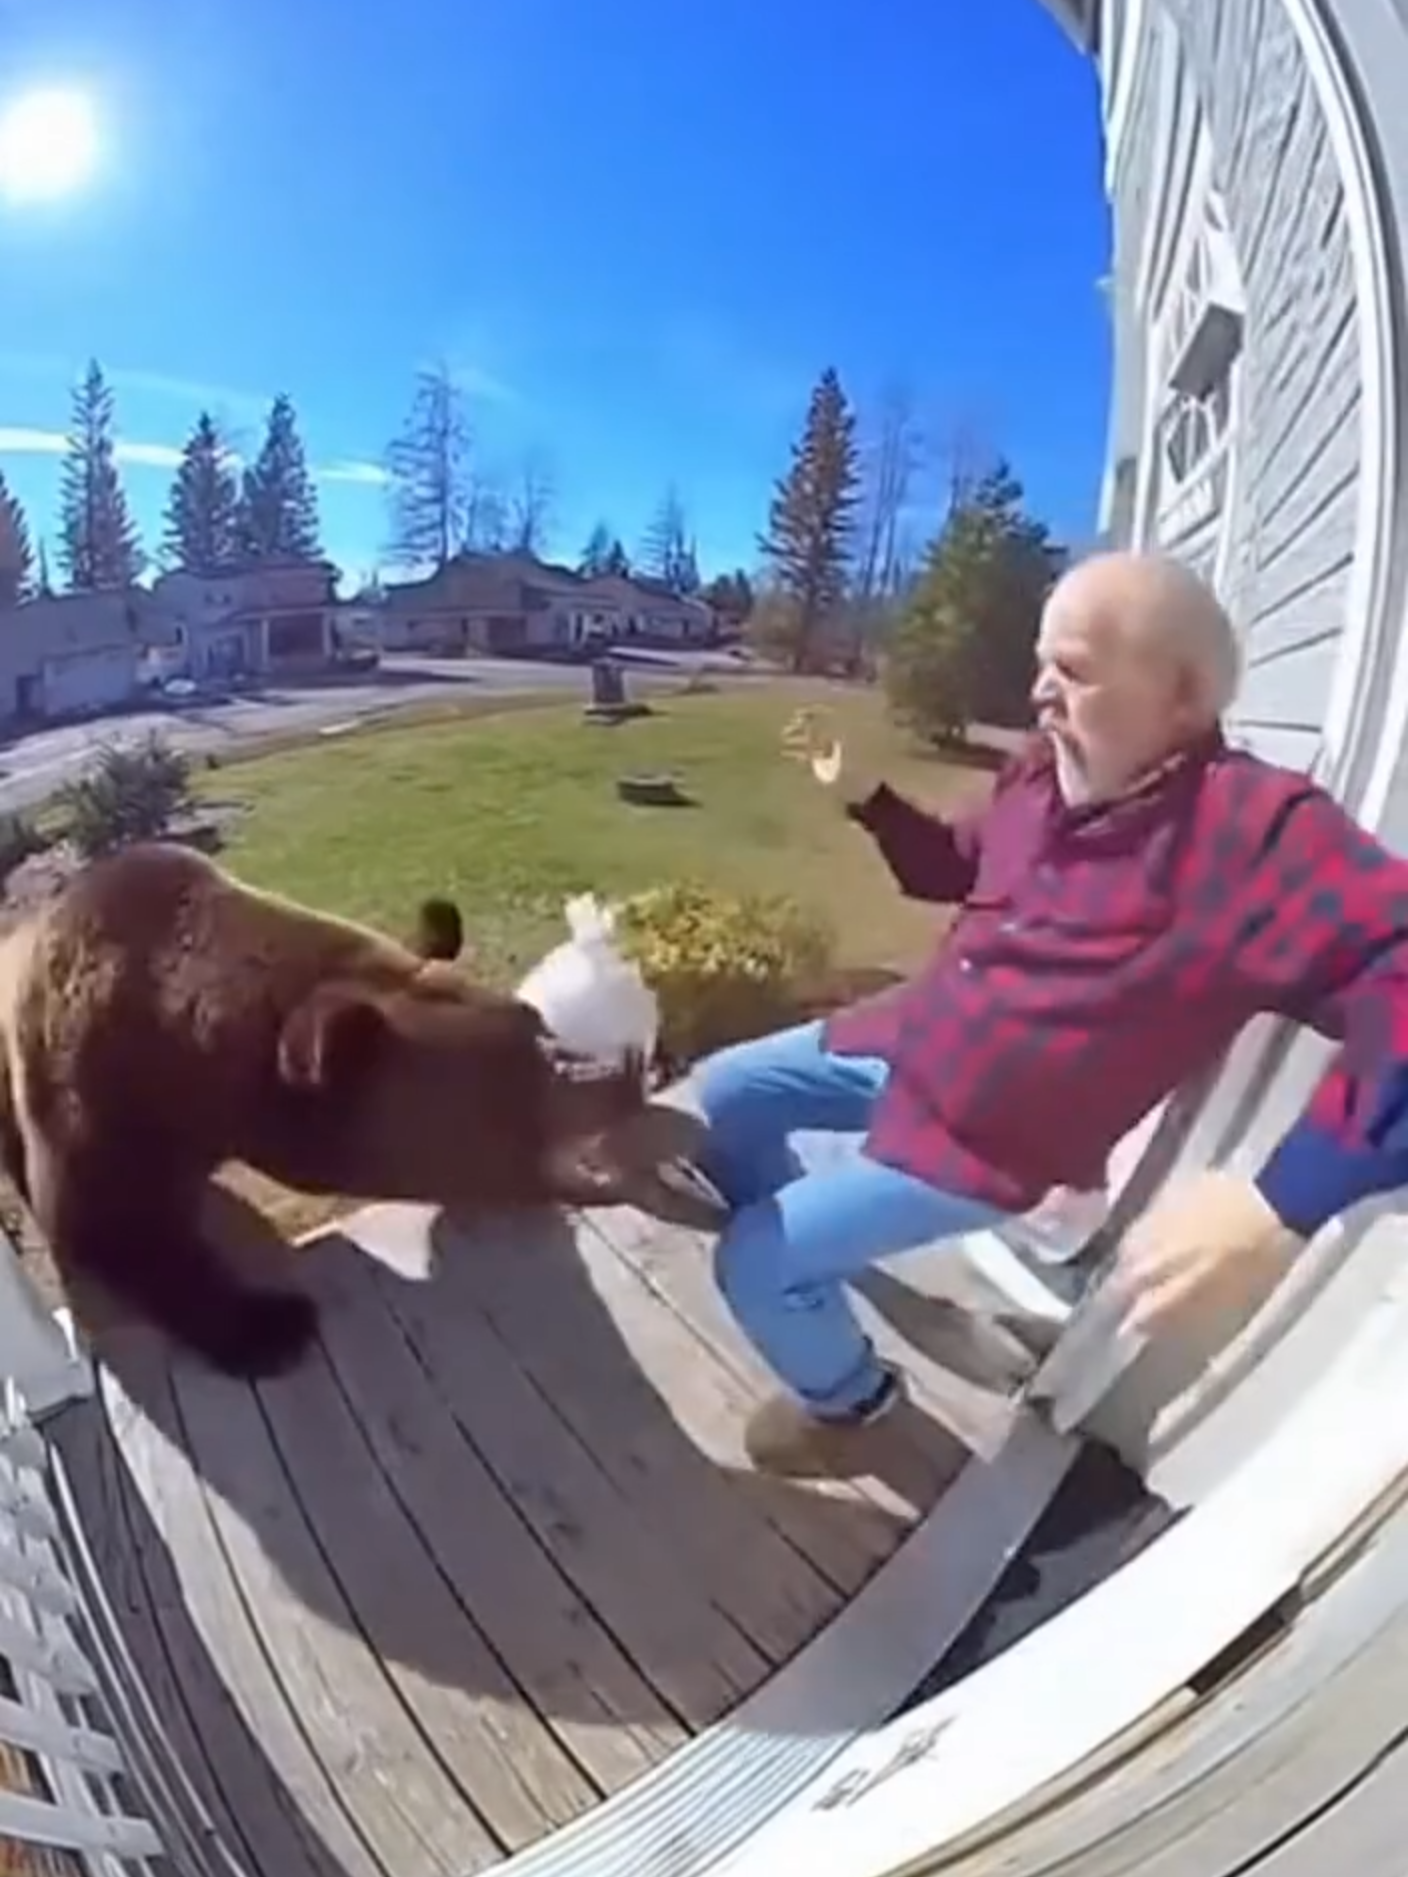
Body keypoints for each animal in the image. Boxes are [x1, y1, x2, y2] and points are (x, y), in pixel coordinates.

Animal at [0, 840, 708, 1379]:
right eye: (525, 1069)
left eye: (535, 1023)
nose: (627, 1072)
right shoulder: (88, 1090)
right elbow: (109, 1224)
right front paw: (270, 1326)